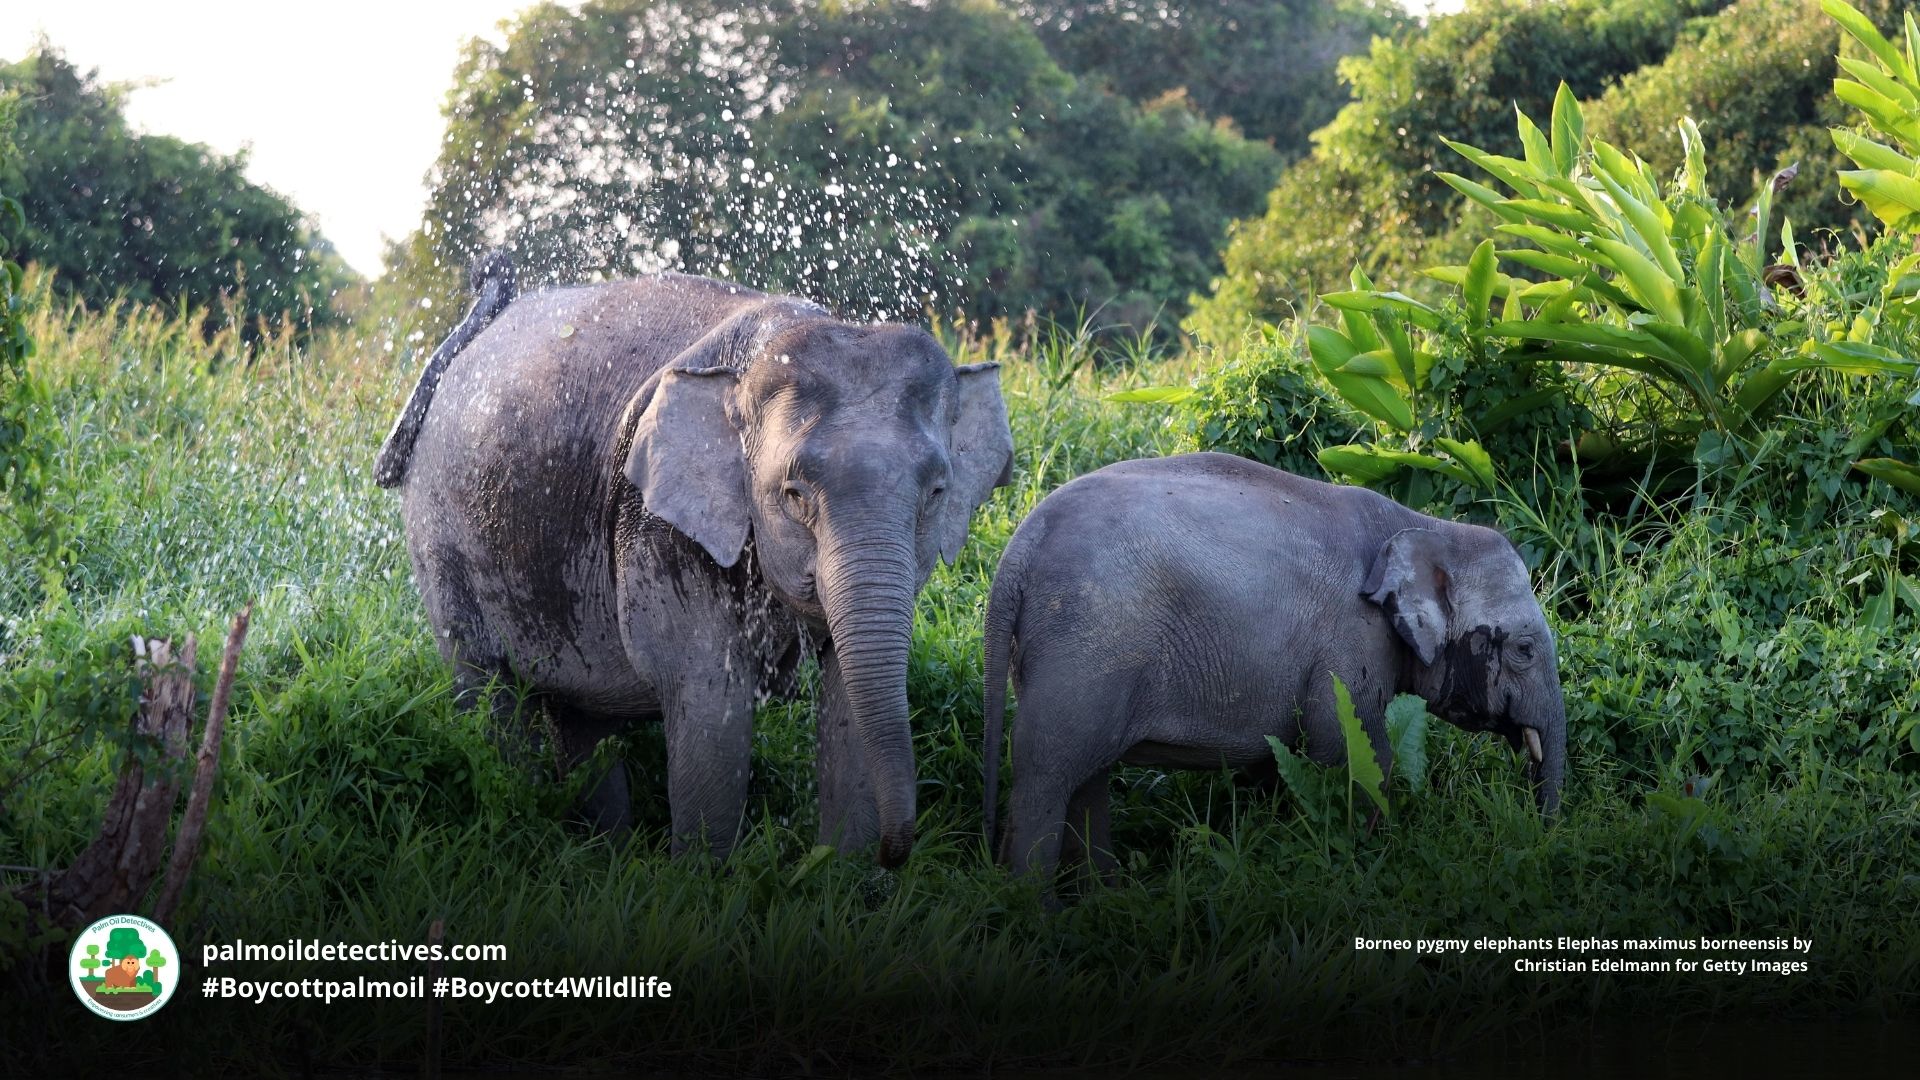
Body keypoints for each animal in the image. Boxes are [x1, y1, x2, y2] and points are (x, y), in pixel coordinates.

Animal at [375, 253, 1013, 866]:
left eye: (936, 491)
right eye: (794, 494)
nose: (895, 854)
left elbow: (850, 705)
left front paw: (841, 879)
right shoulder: (657, 528)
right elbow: (710, 705)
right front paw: (703, 884)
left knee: (584, 722)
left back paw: (602, 860)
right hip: (440, 539)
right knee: (490, 694)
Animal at [980, 452, 1565, 879]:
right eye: (1524, 650)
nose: (1540, 835)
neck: (1422, 524)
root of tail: (1017, 550)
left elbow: (1279, 759)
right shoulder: (1350, 639)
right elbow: (1353, 751)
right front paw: (1361, 860)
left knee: (1086, 775)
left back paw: (1104, 898)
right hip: (1085, 647)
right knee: (1047, 771)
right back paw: (1037, 911)